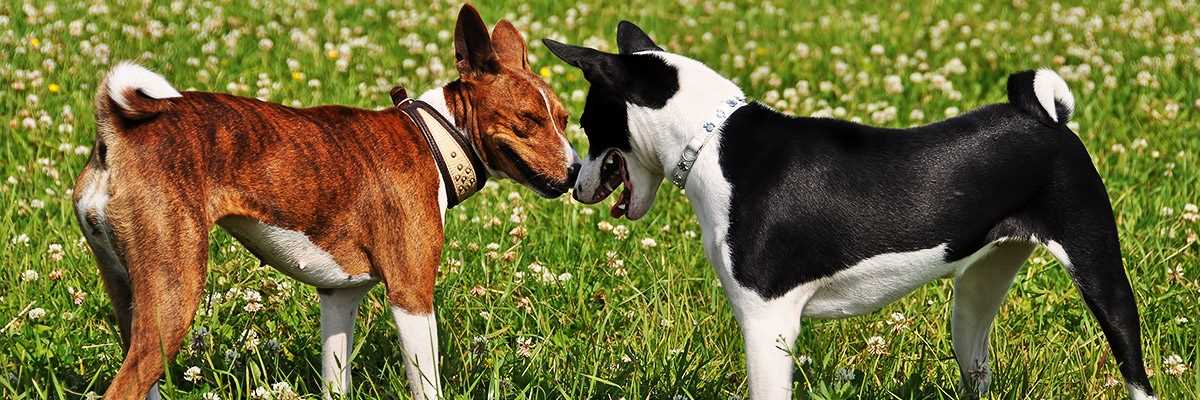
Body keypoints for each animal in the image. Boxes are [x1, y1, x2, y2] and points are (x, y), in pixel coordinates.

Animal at [70, 6, 576, 398]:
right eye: (528, 120)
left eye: (566, 119)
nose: (575, 171)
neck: (435, 139)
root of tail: (115, 129)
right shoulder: (412, 296)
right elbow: (427, 384)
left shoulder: (338, 297)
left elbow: (336, 381)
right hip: (175, 294)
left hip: (133, 298)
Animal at [544, 21, 1152, 398]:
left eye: (588, 123)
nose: (575, 182)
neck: (712, 141)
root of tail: (1043, 116)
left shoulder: (766, 323)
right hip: (976, 297)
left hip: (1101, 275)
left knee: (1135, 372)